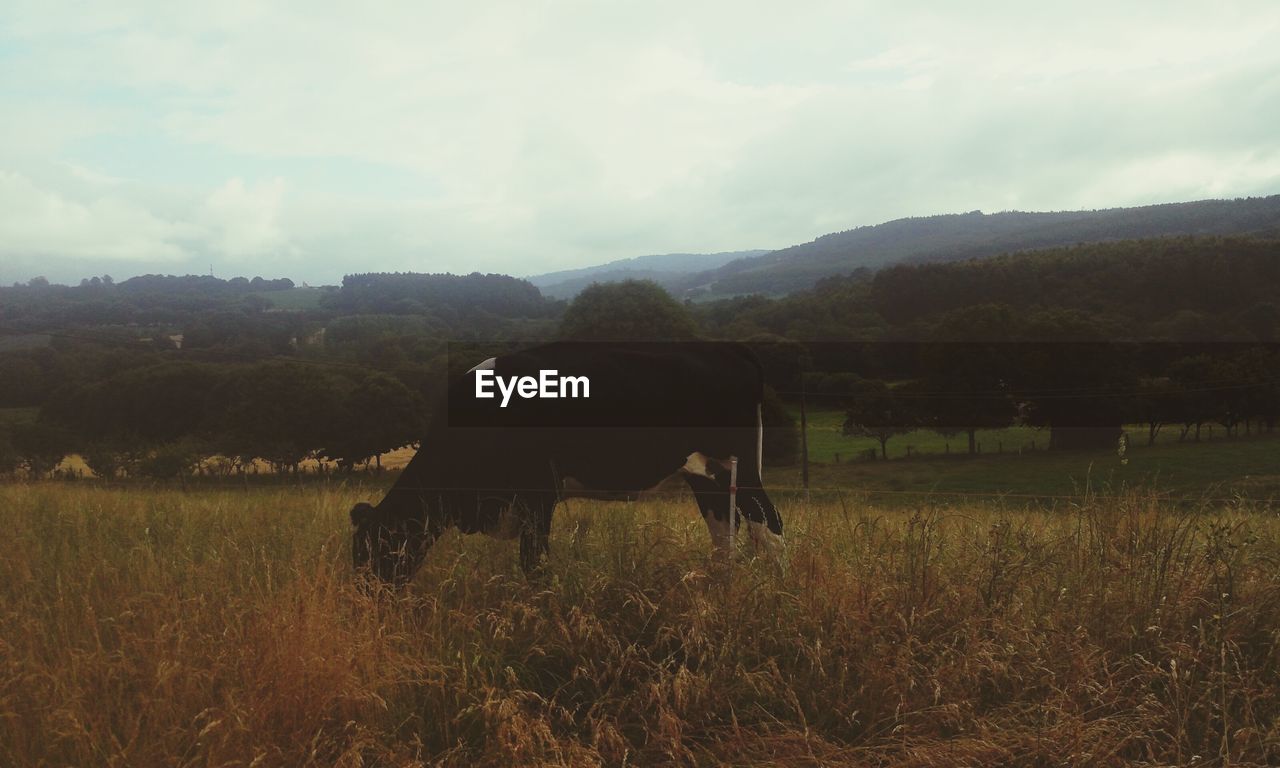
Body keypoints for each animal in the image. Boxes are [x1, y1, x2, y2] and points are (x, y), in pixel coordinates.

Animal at [355, 337, 783, 586]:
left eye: (379, 548)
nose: (368, 600)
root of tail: (727, 348)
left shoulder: (537, 494)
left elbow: (534, 564)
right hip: (706, 474)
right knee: (725, 535)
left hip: (740, 465)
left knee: (770, 526)